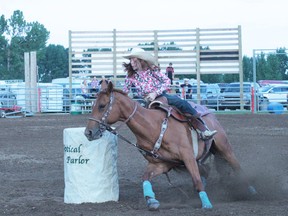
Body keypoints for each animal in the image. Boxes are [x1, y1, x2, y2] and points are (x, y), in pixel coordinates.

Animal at [84, 82, 256, 211]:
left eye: (102, 105)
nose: (88, 132)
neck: (154, 126)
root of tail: (209, 112)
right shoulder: (161, 163)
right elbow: (145, 177)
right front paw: (151, 201)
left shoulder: (188, 156)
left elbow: (196, 180)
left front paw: (206, 203)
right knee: (206, 171)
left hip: (224, 147)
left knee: (235, 166)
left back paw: (251, 190)